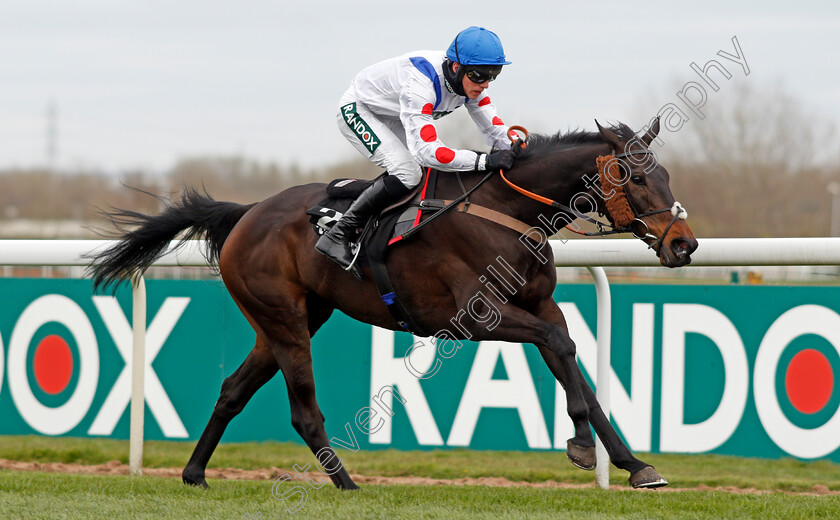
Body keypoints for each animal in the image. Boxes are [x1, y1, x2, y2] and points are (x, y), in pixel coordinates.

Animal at [90, 119, 696, 492]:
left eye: (667, 175)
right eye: (638, 177)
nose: (683, 245)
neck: (506, 212)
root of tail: (246, 212)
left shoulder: (542, 306)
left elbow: (573, 359)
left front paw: (634, 465)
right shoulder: (476, 316)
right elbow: (562, 349)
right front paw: (581, 445)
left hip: (289, 319)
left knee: (233, 390)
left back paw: (194, 473)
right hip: (286, 320)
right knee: (303, 410)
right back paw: (347, 482)